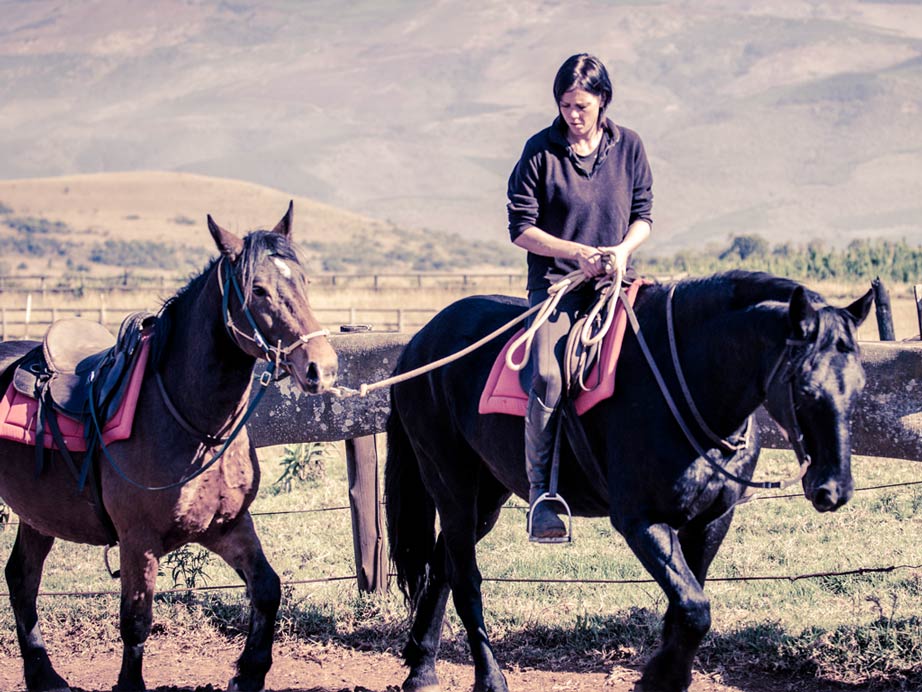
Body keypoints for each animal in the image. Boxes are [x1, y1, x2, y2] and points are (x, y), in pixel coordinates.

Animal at [0, 204, 338, 692]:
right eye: (257, 288)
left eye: (304, 281)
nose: (321, 368)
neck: (192, 423)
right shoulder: (138, 541)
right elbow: (136, 621)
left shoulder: (227, 526)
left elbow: (267, 588)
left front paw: (249, 673)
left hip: (38, 514)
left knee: (22, 577)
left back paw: (45, 676)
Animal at [380, 268, 868, 692]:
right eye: (805, 387)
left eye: (859, 386)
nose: (833, 489)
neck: (683, 379)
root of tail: (420, 343)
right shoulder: (641, 522)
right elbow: (695, 609)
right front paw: (658, 680)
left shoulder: (711, 520)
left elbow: (683, 610)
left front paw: (667, 677)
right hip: (451, 484)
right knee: (465, 579)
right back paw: (489, 680)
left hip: (488, 496)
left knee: (442, 566)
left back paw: (421, 671)